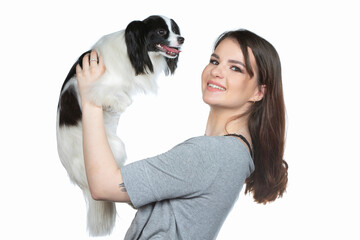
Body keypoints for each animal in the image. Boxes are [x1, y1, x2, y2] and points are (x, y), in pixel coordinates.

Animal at [57, 15, 184, 236]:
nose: (182, 39)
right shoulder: (96, 89)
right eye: (161, 32)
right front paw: (120, 102)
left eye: (175, 30)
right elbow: (113, 96)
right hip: (116, 146)